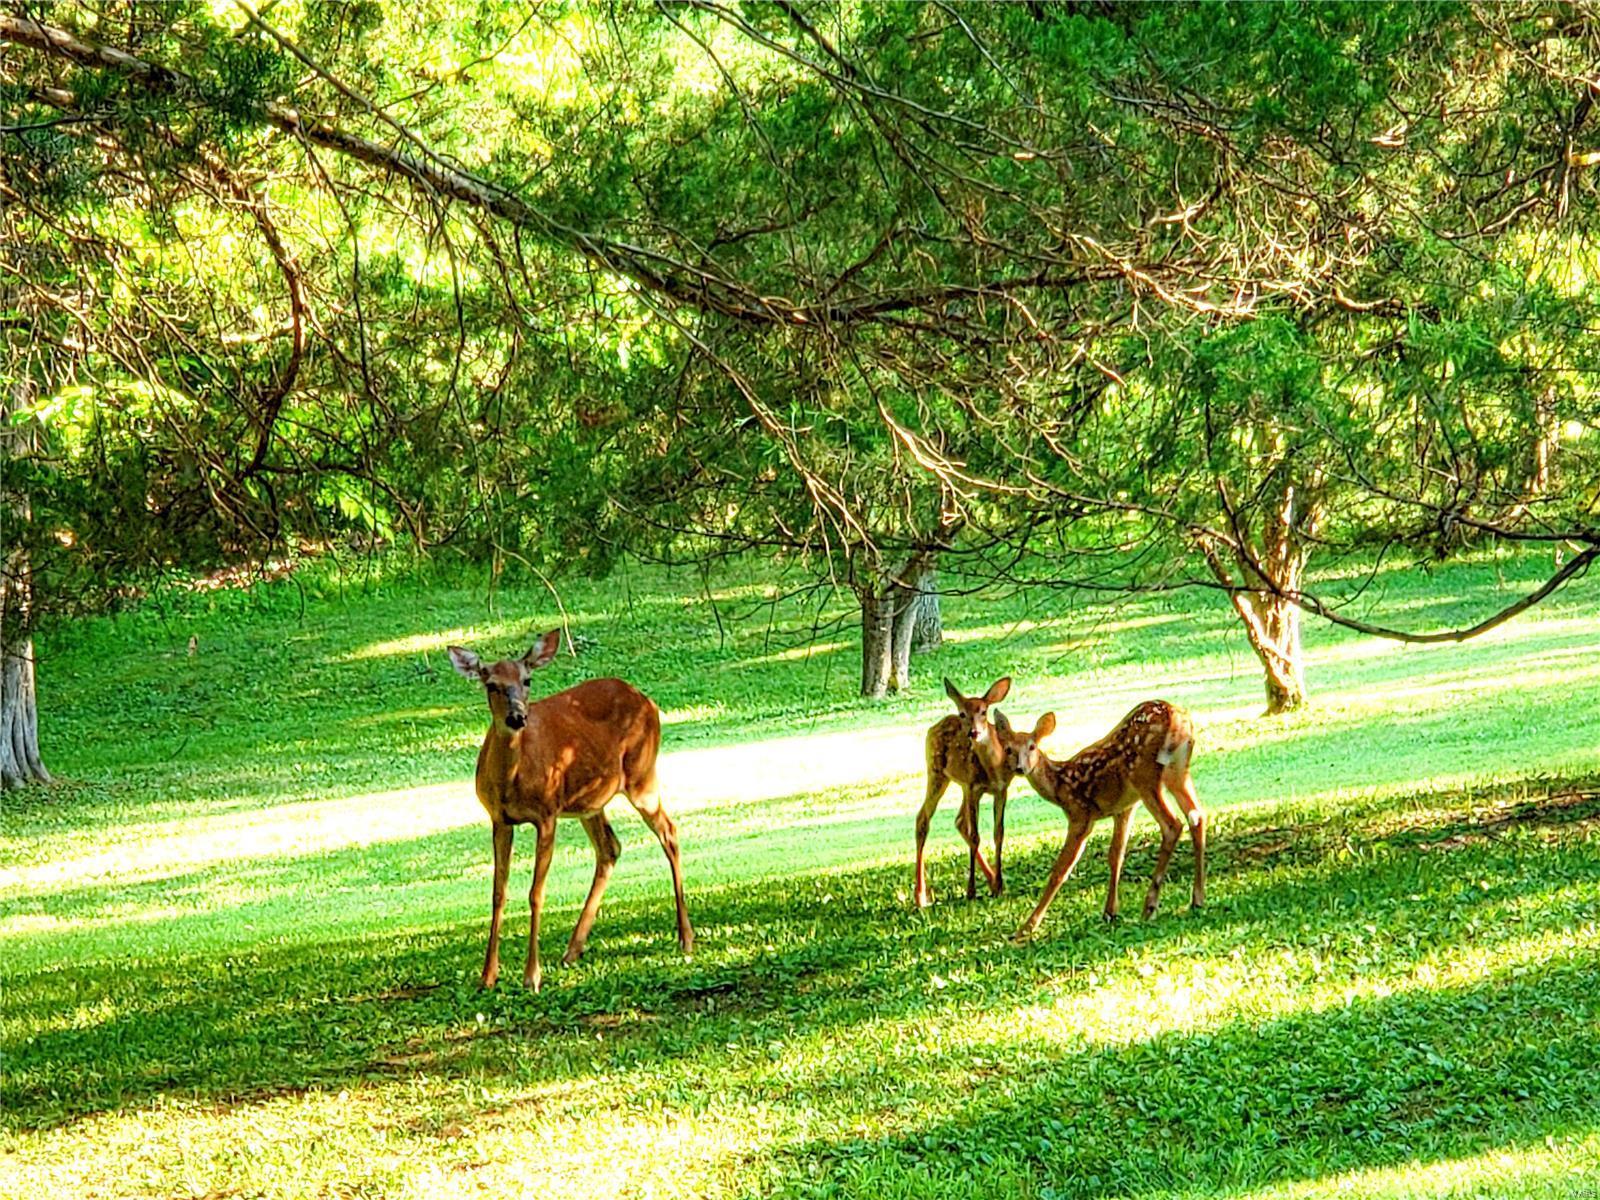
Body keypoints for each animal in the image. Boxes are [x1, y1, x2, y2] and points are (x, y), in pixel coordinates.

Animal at [448, 631, 693, 991]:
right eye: (491, 684)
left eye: (527, 680)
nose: (517, 717)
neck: (512, 780)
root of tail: (647, 700)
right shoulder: (499, 819)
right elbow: (497, 893)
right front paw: (488, 976)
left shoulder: (546, 813)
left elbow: (536, 893)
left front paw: (532, 976)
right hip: (590, 801)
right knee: (610, 847)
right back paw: (572, 949)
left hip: (641, 775)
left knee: (670, 832)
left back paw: (686, 937)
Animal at [914, 676, 1017, 908]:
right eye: (963, 713)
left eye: (984, 711)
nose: (973, 733)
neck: (992, 769)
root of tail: (934, 726)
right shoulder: (973, 788)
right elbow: (976, 836)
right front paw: (971, 891)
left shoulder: (1001, 790)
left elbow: (999, 834)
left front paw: (999, 885)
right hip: (936, 772)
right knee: (923, 818)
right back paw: (920, 896)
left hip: (958, 784)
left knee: (959, 821)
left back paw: (991, 881)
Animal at [994, 700, 1205, 940]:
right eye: (1009, 749)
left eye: (1032, 747)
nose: (1020, 768)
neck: (1059, 786)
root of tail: (1177, 715)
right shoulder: (1124, 809)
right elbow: (1116, 855)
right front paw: (1110, 912)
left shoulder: (1080, 815)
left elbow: (1060, 871)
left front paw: (1026, 928)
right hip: (1178, 770)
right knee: (1198, 816)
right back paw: (1197, 899)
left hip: (1145, 774)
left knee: (1173, 825)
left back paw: (1150, 907)